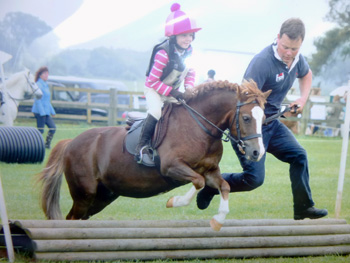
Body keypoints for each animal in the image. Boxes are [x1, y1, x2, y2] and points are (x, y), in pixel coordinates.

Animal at [40, 80, 270, 231]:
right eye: (247, 118)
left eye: (264, 118)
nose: (257, 152)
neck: (199, 126)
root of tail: (71, 143)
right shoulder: (171, 167)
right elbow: (198, 182)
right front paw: (174, 201)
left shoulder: (211, 170)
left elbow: (224, 186)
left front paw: (218, 220)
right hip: (84, 193)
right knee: (71, 218)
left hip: (102, 196)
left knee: (80, 218)